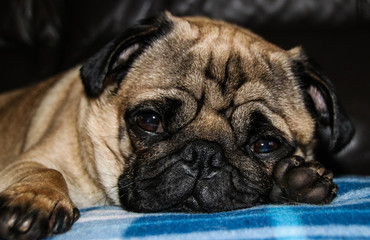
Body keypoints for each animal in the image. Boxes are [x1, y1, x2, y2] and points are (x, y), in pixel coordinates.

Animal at [0, 12, 352, 240]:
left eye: (265, 145)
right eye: (149, 121)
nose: (204, 154)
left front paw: (296, 181)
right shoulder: (27, 162)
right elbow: (48, 172)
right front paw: (34, 200)